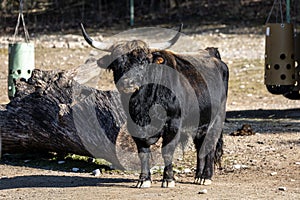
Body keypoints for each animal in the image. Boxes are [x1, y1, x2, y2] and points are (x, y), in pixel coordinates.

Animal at [81, 24, 229, 188]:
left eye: (143, 62)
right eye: (116, 64)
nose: (127, 83)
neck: (144, 105)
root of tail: (213, 55)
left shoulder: (173, 124)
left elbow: (167, 151)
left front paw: (168, 179)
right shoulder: (135, 127)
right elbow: (143, 152)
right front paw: (143, 179)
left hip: (216, 120)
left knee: (210, 145)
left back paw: (205, 177)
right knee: (200, 146)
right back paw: (197, 176)